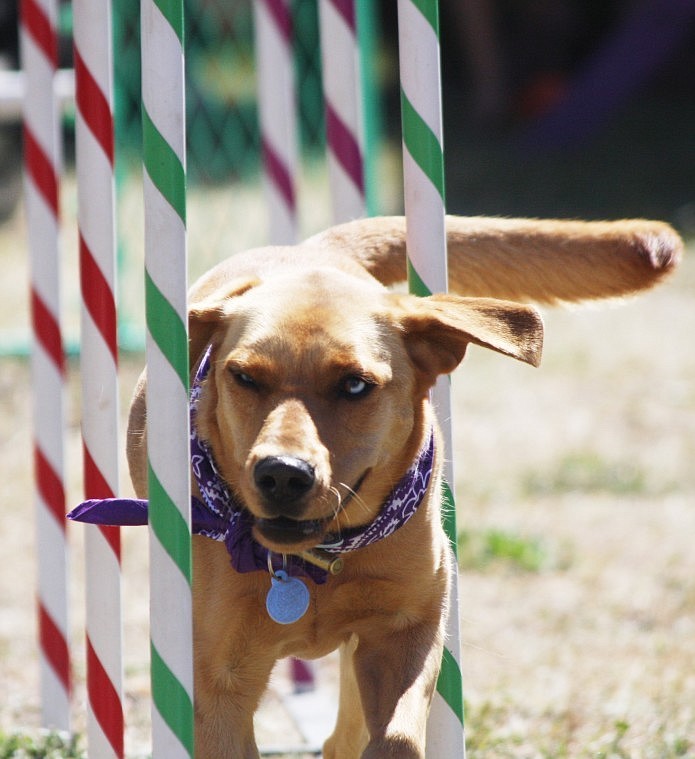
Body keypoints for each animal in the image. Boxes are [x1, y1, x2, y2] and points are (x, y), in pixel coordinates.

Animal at [95, 215, 684, 759]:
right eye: (243, 377)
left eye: (355, 385)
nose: (282, 473)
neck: (319, 562)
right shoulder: (218, 681)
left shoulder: (408, 630)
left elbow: (397, 735)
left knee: (343, 734)